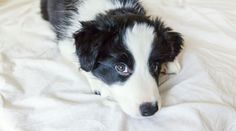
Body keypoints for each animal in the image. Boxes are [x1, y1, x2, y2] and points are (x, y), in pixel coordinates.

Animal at [40, 0, 183, 117]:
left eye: (154, 66)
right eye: (121, 67)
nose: (150, 110)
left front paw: (170, 61)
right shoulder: (65, 42)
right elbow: (81, 63)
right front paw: (100, 85)